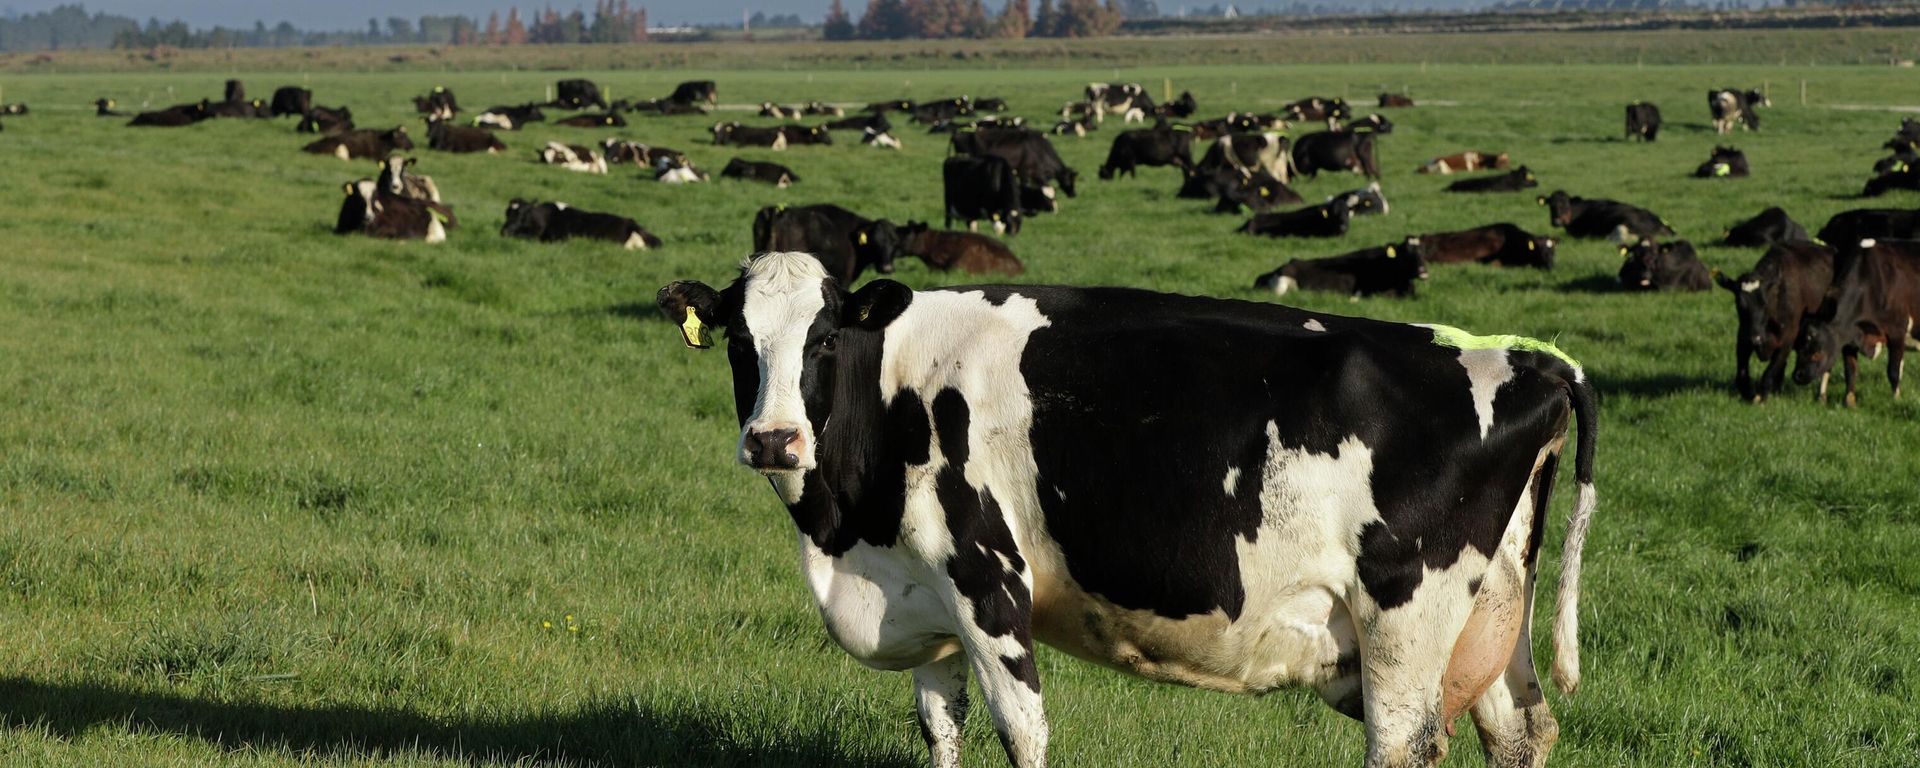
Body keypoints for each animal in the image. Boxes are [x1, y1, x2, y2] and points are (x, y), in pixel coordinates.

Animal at [651, 249, 1598, 768]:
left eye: (822, 338)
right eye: (737, 339)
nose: (774, 440)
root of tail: (1526, 358)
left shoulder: (987, 580)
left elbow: (1023, 732)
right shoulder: (923, 599)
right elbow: (942, 731)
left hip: (1404, 617)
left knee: (1403, 744)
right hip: (1490, 617)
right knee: (1522, 733)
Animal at [1714, 241, 1836, 401]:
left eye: (1765, 303)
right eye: (1740, 304)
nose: (1756, 338)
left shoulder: (1787, 341)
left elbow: (1770, 372)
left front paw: (1762, 396)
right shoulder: (1743, 337)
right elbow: (1742, 373)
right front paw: (1749, 393)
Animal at [1792, 238, 1920, 406]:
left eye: (1817, 352)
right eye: (1797, 348)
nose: (1797, 375)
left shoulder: (1897, 331)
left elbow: (1894, 370)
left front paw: (1896, 399)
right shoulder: (1848, 337)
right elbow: (1850, 370)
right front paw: (1849, 401)